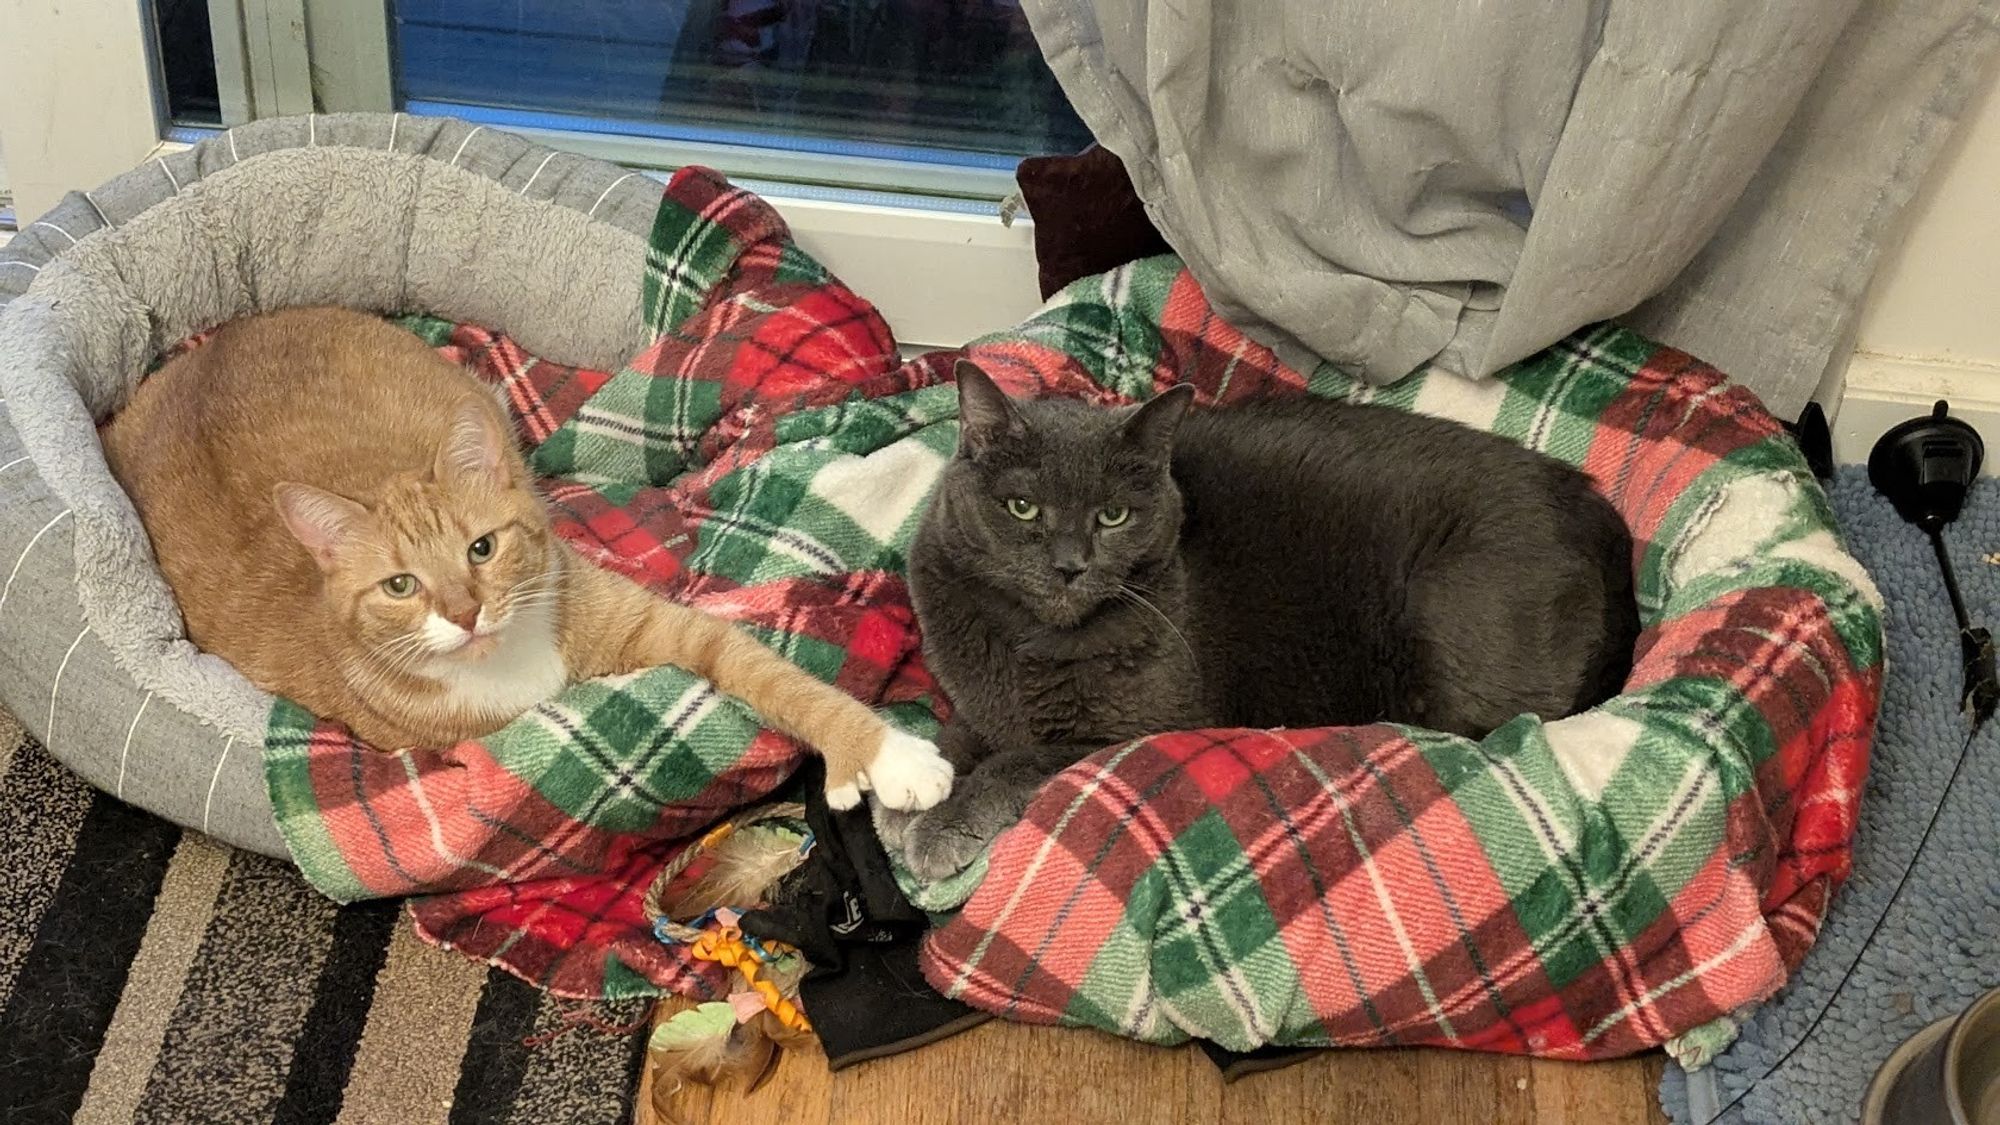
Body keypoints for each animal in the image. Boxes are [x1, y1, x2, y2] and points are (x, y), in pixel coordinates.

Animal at [97, 306, 956, 804]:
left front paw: (890, 754)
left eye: (482, 547)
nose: (465, 612)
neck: (509, 658)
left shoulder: (675, 629)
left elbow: (780, 681)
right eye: (400, 585)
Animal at [892, 358, 1640, 876]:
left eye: (1113, 515)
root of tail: (1604, 523)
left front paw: (944, 822)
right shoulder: (979, 701)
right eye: (1022, 508)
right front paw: (913, 784)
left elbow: (1019, 758)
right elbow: (959, 732)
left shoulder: (1136, 730)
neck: (1033, 641)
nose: (1070, 564)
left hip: (1453, 617)